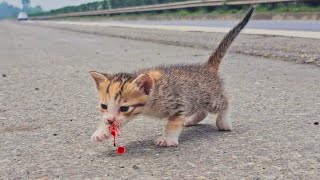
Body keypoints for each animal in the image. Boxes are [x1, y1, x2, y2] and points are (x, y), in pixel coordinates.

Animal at [89, 6, 255, 146]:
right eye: (103, 106)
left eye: (124, 108)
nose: (109, 120)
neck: (153, 97)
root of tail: (207, 67)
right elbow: (115, 120)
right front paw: (102, 131)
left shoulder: (179, 104)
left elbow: (173, 123)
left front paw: (167, 139)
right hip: (196, 98)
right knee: (202, 110)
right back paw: (191, 120)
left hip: (211, 98)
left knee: (225, 101)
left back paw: (223, 121)